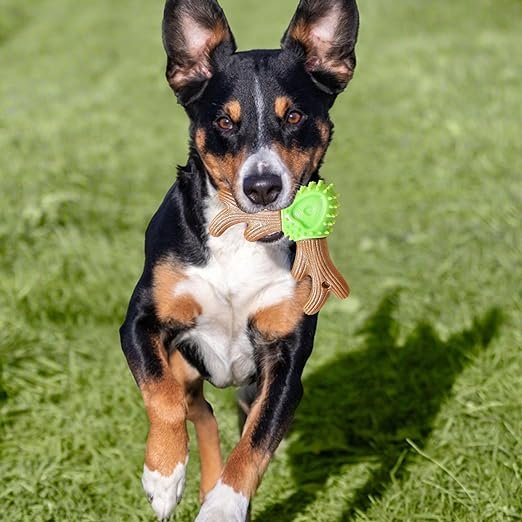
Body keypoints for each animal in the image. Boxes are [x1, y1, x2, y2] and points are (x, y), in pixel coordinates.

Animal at [120, 0, 358, 516]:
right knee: (199, 410)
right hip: (187, 365)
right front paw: (163, 475)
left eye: (294, 116)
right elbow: (161, 397)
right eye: (225, 123)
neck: (244, 236)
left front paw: (224, 507)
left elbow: (253, 445)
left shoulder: (286, 367)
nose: (262, 186)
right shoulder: (140, 324)